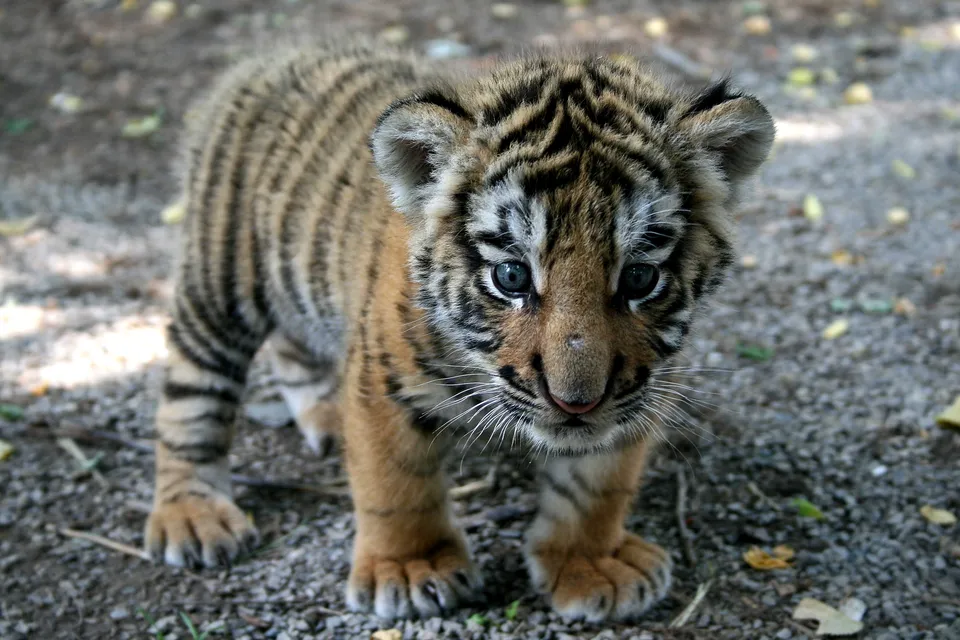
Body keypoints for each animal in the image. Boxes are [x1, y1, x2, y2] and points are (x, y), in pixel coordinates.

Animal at [144, 37, 774, 622]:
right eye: (511, 275)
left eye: (640, 277)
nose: (575, 402)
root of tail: (277, 53)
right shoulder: (384, 382)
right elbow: (396, 484)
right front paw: (409, 567)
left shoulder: (639, 388)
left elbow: (598, 483)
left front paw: (590, 563)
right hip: (219, 283)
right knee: (190, 397)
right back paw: (193, 514)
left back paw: (324, 418)